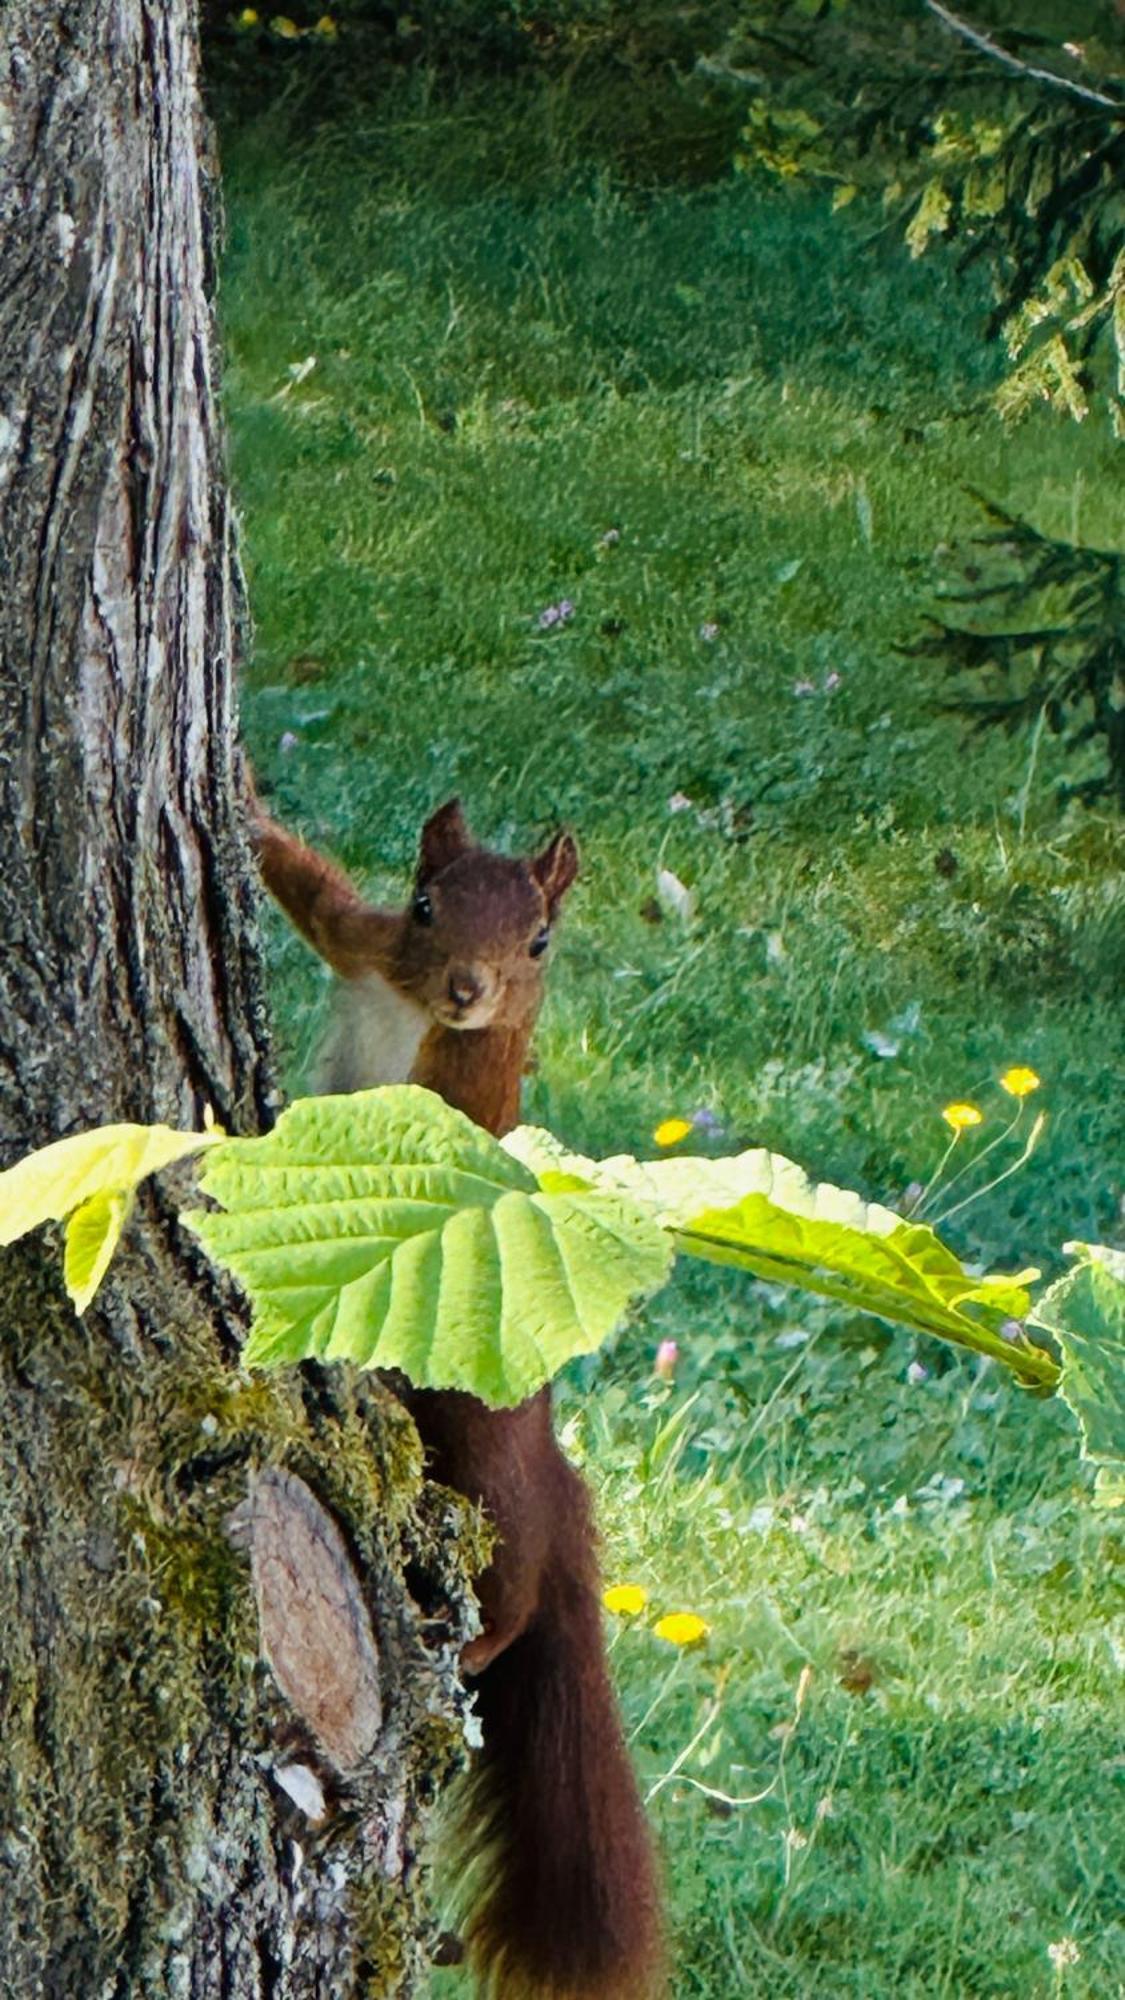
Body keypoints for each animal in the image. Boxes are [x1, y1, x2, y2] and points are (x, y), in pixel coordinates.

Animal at [249, 792, 660, 2000]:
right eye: (429, 903)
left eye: (540, 942)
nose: (469, 990)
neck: (421, 1014)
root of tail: (562, 1488)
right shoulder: (368, 945)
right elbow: (308, 884)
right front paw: (247, 803)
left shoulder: (457, 1097)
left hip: (494, 1496)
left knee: (511, 1601)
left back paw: (469, 1650)